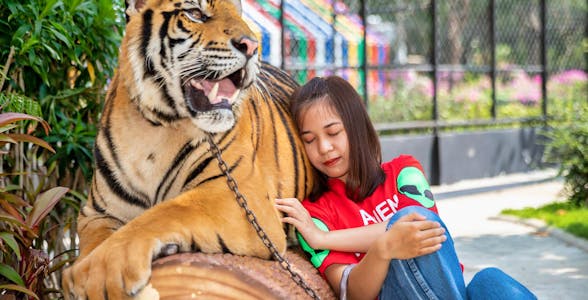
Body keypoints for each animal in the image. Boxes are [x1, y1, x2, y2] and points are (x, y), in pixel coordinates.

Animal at [62, 0, 314, 298]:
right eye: (195, 13)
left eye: (238, 14)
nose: (253, 46)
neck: (155, 127)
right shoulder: (99, 212)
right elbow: (94, 242)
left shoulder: (236, 195)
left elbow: (164, 213)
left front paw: (100, 272)